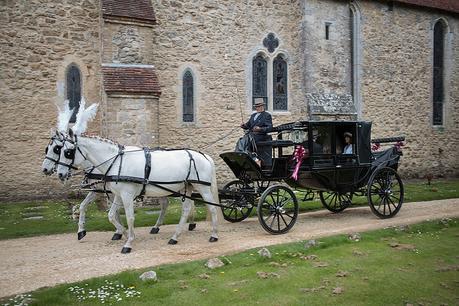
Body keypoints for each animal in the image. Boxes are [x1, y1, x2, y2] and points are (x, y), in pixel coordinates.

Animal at [55, 131, 221, 253]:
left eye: (68, 152)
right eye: (59, 150)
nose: (60, 174)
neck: (116, 162)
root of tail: (204, 156)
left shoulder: (127, 195)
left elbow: (129, 218)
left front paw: (128, 242)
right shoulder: (118, 195)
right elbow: (111, 215)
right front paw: (122, 232)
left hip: (202, 188)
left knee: (212, 208)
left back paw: (214, 234)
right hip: (186, 188)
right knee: (186, 209)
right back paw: (175, 237)